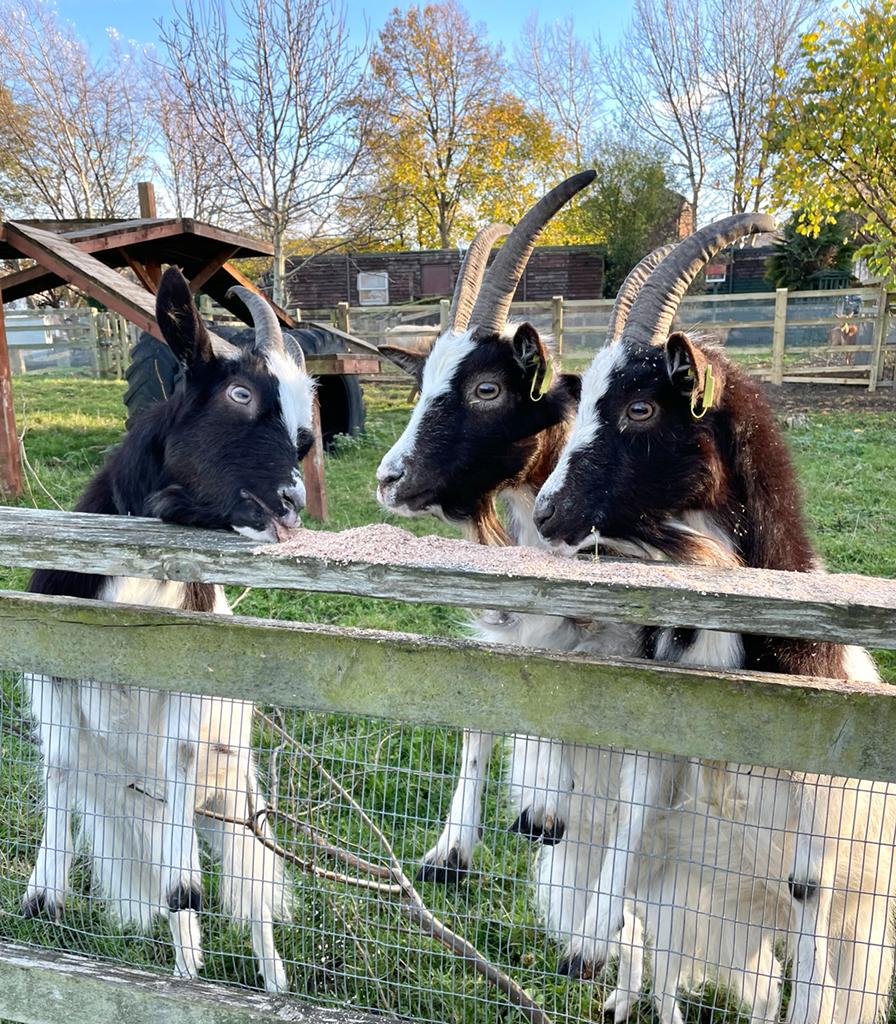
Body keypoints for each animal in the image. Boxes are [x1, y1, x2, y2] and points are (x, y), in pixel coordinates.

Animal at [23, 269, 315, 991]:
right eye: (240, 395)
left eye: (305, 432)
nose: (292, 505)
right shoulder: (49, 651)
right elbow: (60, 761)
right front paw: (43, 889)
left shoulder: (188, 664)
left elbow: (179, 751)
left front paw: (188, 883)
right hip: (144, 804)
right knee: (167, 883)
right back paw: (185, 972)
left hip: (231, 794)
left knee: (245, 884)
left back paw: (271, 981)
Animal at [534, 214, 896, 1023]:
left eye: (639, 407)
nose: (546, 514)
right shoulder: (668, 737)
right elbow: (630, 826)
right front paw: (587, 945)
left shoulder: (821, 799)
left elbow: (809, 901)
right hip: (700, 907)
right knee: (675, 969)